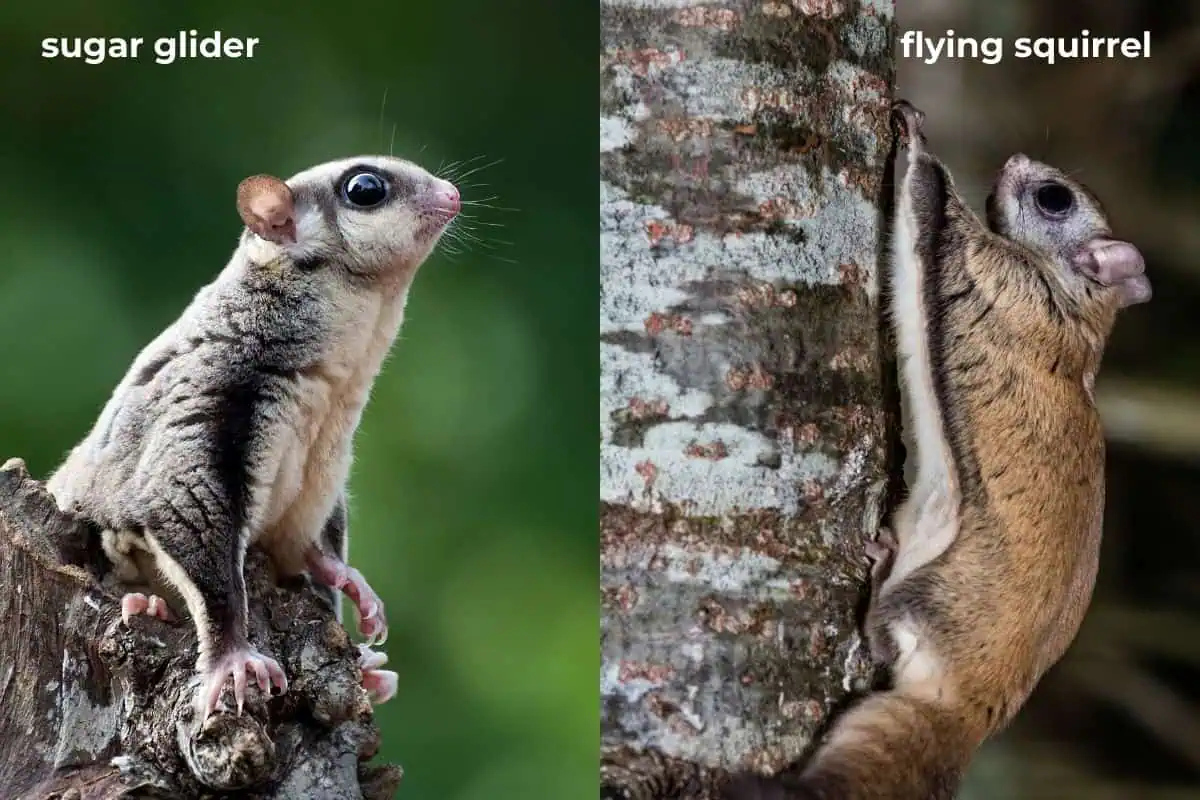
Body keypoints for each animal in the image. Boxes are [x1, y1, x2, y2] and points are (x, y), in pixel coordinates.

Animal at [46, 156, 461, 720]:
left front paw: (354, 586)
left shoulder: (330, 459)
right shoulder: (214, 393)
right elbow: (181, 505)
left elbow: (317, 543)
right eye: (365, 188)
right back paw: (143, 602)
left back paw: (373, 675)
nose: (453, 194)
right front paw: (234, 659)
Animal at [725, 100, 1151, 799]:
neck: (1074, 305)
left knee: (884, 636)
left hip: (927, 602)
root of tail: (971, 707)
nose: (1014, 158)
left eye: (1054, 198)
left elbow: (928, 206)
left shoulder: (986, 270)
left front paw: (914, 134)